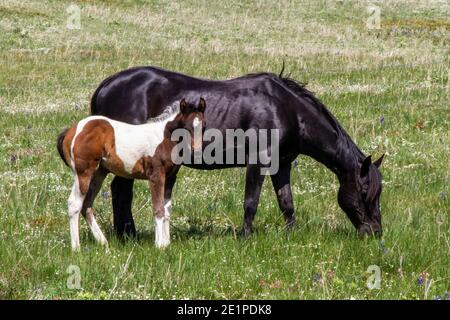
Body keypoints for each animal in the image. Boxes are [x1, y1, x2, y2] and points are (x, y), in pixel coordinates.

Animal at [57, 97, 207, 250]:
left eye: (204, 126)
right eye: (186, 127)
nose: (197, 151)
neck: (165, 137)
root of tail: (72, 130)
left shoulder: (170, 178)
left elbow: (167, 210)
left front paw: (166, 243)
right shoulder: (156, 175)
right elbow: (158, 209)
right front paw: (159, 245)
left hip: (99, 173)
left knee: (86, 204)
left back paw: (103, 242)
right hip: (83, 173)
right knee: (74, 203)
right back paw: (76, 248)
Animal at [89, 65, 384, 238]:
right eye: (364, 192)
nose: (375, 232)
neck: (285, 108)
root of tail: (106, 85)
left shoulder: (281, 164)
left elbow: (286, 202)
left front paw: (292, 235)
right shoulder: (259, 161)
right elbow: (250, 202)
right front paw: (245, 237)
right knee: (121, 192)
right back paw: (127, 235)